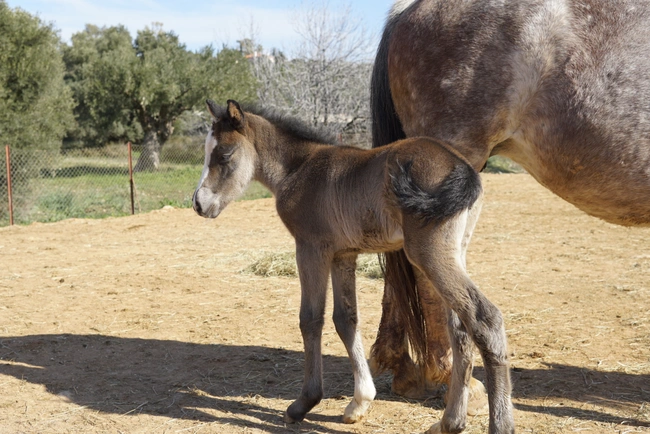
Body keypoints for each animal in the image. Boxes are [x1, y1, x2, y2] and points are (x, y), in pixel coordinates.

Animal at [192, 99, 497, 431]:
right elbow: (345, 319)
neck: (298, 169)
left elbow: (310, 319)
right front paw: (360, 402)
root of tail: (463, 167)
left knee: (482, 318)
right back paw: (450, 420)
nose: (198, 203)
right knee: (461, 328)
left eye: (224, 154)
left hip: (429, 254)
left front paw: (304, 403)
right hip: (455, 252)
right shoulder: (343, 255)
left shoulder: (311, 248)